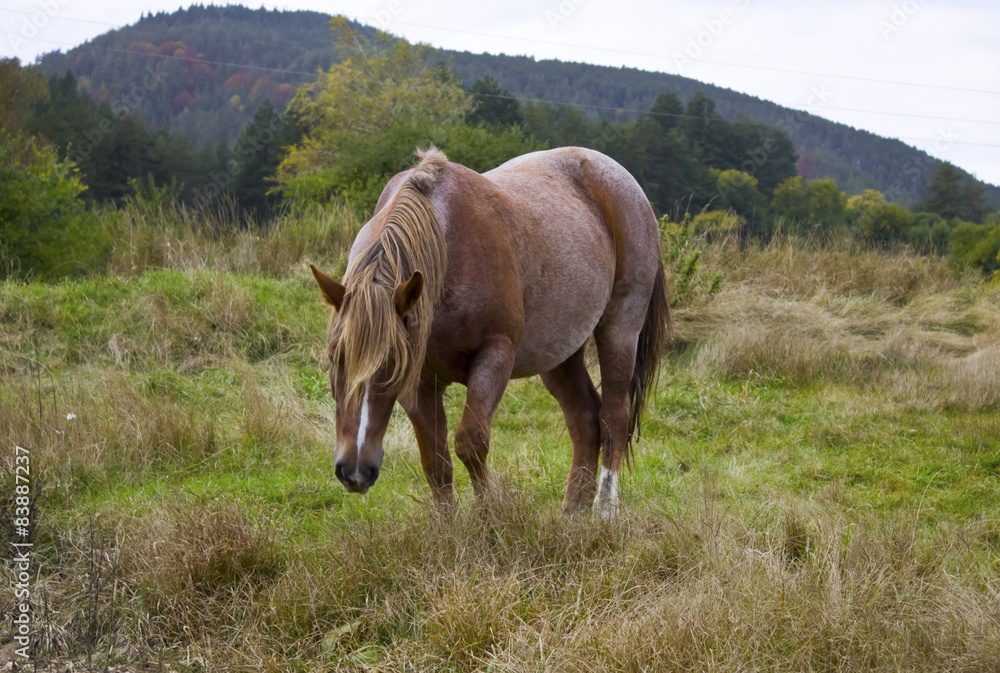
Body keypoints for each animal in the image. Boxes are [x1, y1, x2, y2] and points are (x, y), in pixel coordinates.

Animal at [310, 146, 670, 516]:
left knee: (614, 416)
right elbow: (435, 461)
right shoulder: (421, 382)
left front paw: (489, 515)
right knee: (585, 418)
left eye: (394, 364)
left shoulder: (494, 356)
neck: (446, 248)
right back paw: (573, 511)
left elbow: (470, 441)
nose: (355, 470)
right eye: (334, 358)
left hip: (620, 328)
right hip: (560, 354)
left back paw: (604, 509)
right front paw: (448, 525)